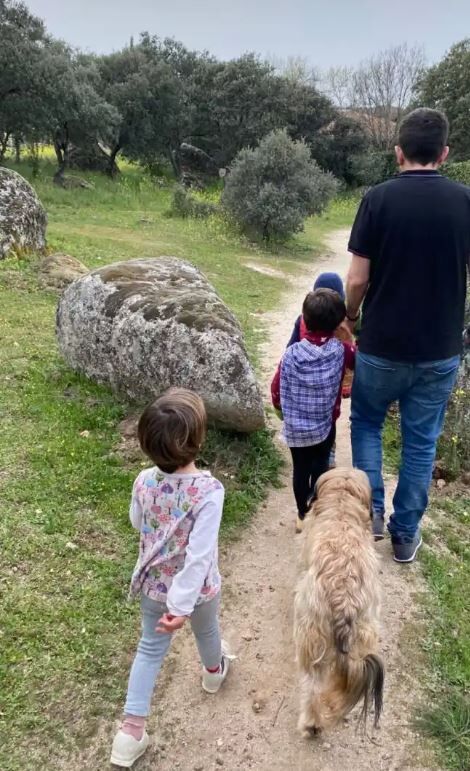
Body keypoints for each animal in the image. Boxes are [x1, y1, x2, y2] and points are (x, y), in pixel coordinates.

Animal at [296, 464, 384, 736]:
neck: (343, 498)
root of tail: (344, 598)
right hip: (365, 633)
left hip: (310, 636)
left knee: (312, 685)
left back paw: (311, 723)